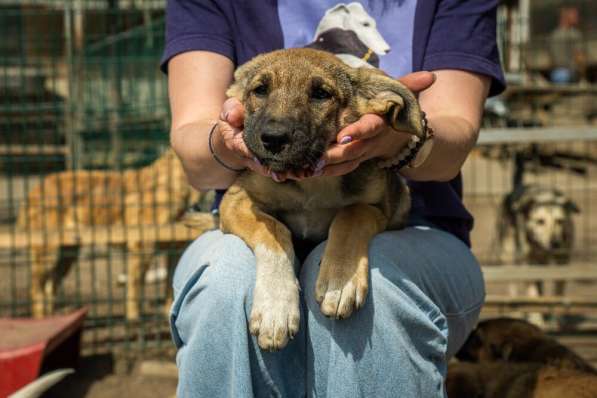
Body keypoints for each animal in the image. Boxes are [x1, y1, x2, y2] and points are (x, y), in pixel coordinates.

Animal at [17, 149, 200, 320]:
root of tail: (33, 191)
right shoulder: (142, 246)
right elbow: (135, 286)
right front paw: (133, 319)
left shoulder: (176, 251)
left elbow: (172, 286)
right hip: (48, 252)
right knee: (36, 290)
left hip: (68, 254)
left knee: (50, 287)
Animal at [217, 47, 426, 352]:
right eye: (260, 90)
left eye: (320, 94)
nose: (273, 139)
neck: (309, 183)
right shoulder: (236, 200)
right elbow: (275, 233)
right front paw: (276, 308)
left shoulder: (383, 207)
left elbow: (351, 214)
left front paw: (340, 280)